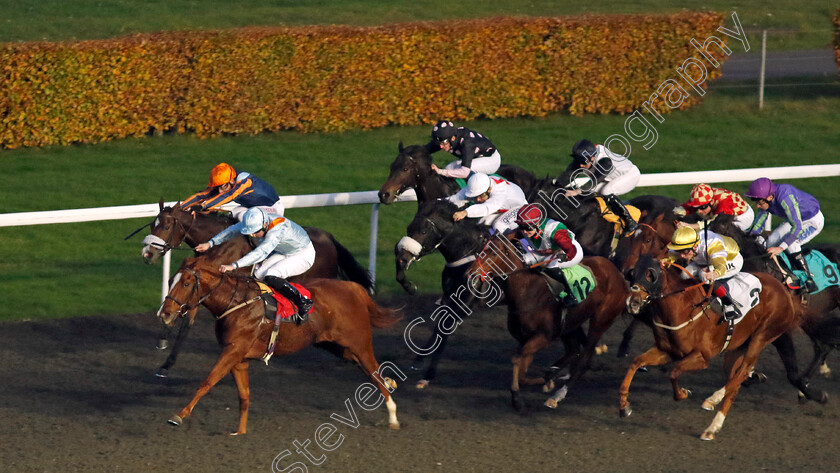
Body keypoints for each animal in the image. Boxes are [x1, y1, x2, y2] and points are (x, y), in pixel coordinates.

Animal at [140, 201, 370, 378]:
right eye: (152, 225)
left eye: (166, 226)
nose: (147, 254)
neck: (222, 248)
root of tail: (330, 237)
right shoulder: (201, 288)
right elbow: (186, 323)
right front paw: (165, 361)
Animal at [162, 254, 406, 436]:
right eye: (170, 280)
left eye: (186, 283)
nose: (165, 313)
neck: (236, 302)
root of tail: (354, 288)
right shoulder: (239, 358)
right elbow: (244, 395)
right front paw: (240, 432)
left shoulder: (233, 350)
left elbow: (207, 382)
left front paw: (179, 415)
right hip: (338, 347)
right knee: (370, 372)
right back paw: (391, 384)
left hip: (359, 343)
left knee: (374, 372)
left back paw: (393, 415)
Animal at [466, 234, 632, 412]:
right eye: (481, 249)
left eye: (494, 253)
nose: (470, 273)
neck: (525, 291)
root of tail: (620, 277)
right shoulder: (525, 339)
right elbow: (523, 373)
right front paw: (545, 379)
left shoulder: (543, 337)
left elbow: (517, 360)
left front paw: (517, 398)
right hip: (571, 324)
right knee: (574, 351)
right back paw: (553, 374)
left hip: (600, 320)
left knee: (584, 359)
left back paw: (557, 396)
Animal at [620, 254, 824, 438]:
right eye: (632, 273)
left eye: (650, 274)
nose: (632, 302)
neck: (683, 306)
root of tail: (784, 290)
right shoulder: (667, 351)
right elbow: (635, 363)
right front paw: (624, 407)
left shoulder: (702, 357)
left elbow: (674, 372)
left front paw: (684, 393)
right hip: (738, 347)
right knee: (735, 379)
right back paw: (713, 421)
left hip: (763, 336)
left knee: (741, 374)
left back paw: (713, 405)